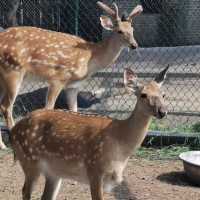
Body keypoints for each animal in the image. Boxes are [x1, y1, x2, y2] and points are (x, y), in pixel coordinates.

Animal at [0, 1, 143, 148]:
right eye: (119, 31)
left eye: (132, 30)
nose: (134, 45)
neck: (90, 58)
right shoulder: (57, 78)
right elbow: (48, 108)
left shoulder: (73, 86)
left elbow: (75, 111)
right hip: (13, 70)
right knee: (6, 107)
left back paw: (3, 145)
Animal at [9, 66, 169, 199]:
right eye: (143, 95)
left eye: (163, 94)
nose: (162, 112)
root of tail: (14, 130)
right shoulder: (94, 169)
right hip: (30, 161)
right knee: (25, 190)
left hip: (54, 172)